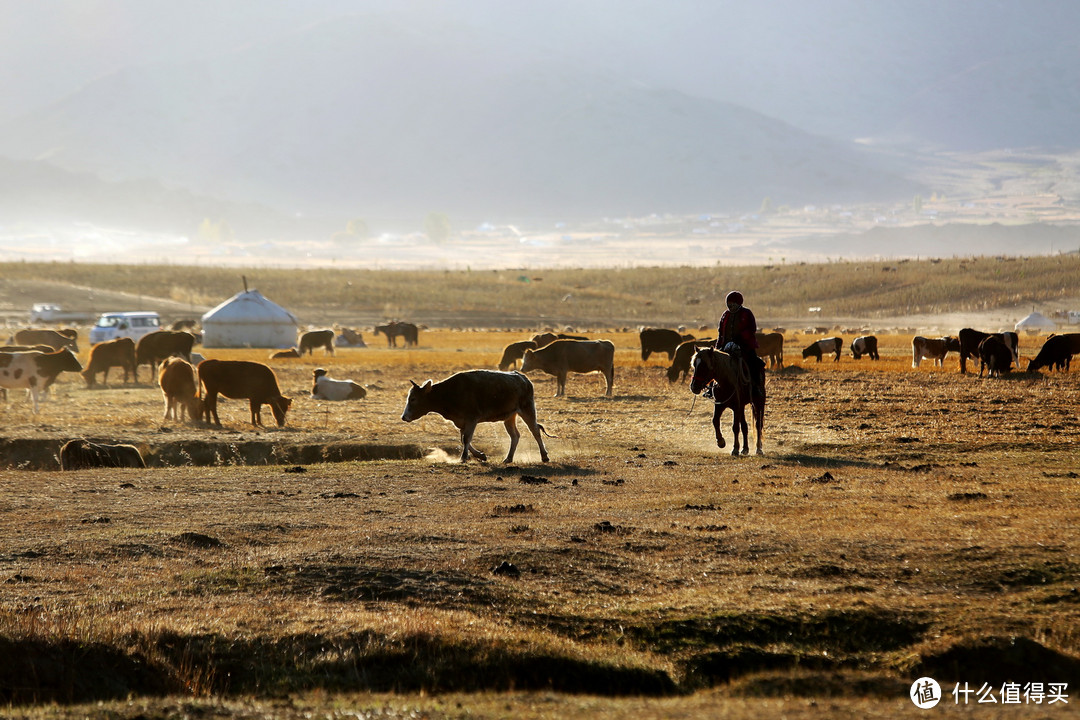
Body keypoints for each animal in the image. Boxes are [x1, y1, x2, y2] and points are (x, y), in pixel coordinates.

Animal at [399, 369, 548, 464]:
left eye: (413, 399)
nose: (404, 417)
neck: (448, 393)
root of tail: (524, 378)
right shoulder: (461, 422)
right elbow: (463, 439)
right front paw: (480, 455)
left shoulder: (472, 419)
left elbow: (466, 439)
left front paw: (463, 458)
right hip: (509, 417)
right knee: (515, 436)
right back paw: (508, 458)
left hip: (527, 409)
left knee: (535, 431)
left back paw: (544, 456)